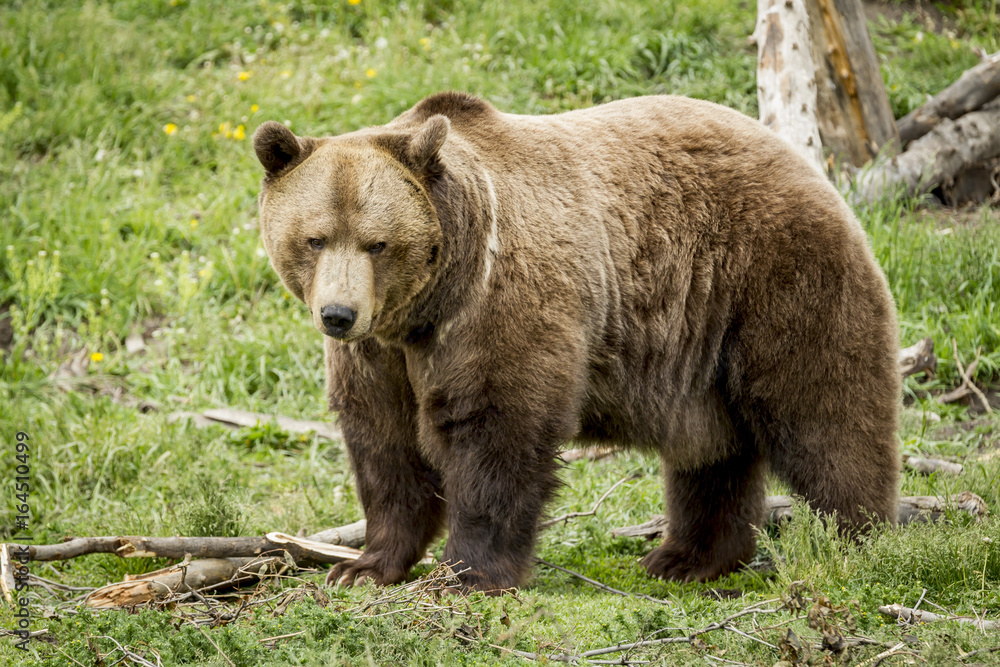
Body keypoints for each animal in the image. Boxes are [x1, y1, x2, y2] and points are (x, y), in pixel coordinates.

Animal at [252, 91, 900, 593]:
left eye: (377, 243)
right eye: (314, 238)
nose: (338, 314)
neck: (426, 307)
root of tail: (807, 165)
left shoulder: (497, 307)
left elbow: (497, 427)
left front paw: (470, 571)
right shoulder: (380, 355)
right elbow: (385, 444)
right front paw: (362, 566)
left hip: (774, 277)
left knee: (825, 411)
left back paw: (858, 539)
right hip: (700, 346)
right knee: (713, 452)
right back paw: (686, 557)